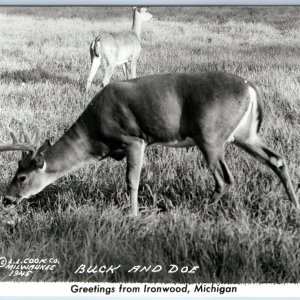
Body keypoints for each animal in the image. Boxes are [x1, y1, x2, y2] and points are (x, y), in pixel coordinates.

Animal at [1, 72, 298, 216]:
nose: (6, 199)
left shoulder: (134, 139)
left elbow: (131, 181)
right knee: (277, 159)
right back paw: (294, 205)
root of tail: (251, 88)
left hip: (210, 134)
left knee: (225, 178)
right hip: (245, 134)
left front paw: (132, 215)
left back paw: (200, 209)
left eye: (22, 177)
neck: (94, 137)